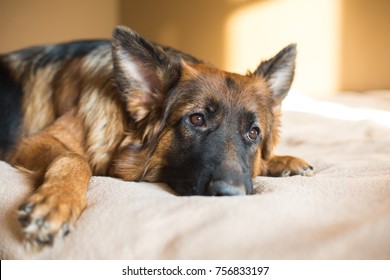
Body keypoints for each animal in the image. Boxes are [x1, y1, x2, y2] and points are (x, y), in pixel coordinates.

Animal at [0, 25, 314, 249]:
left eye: (253, 133)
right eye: (196, 119)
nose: (231, 195)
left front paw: (283, 160)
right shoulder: (33, 144)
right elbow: (75, 157)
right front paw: (58, 202)